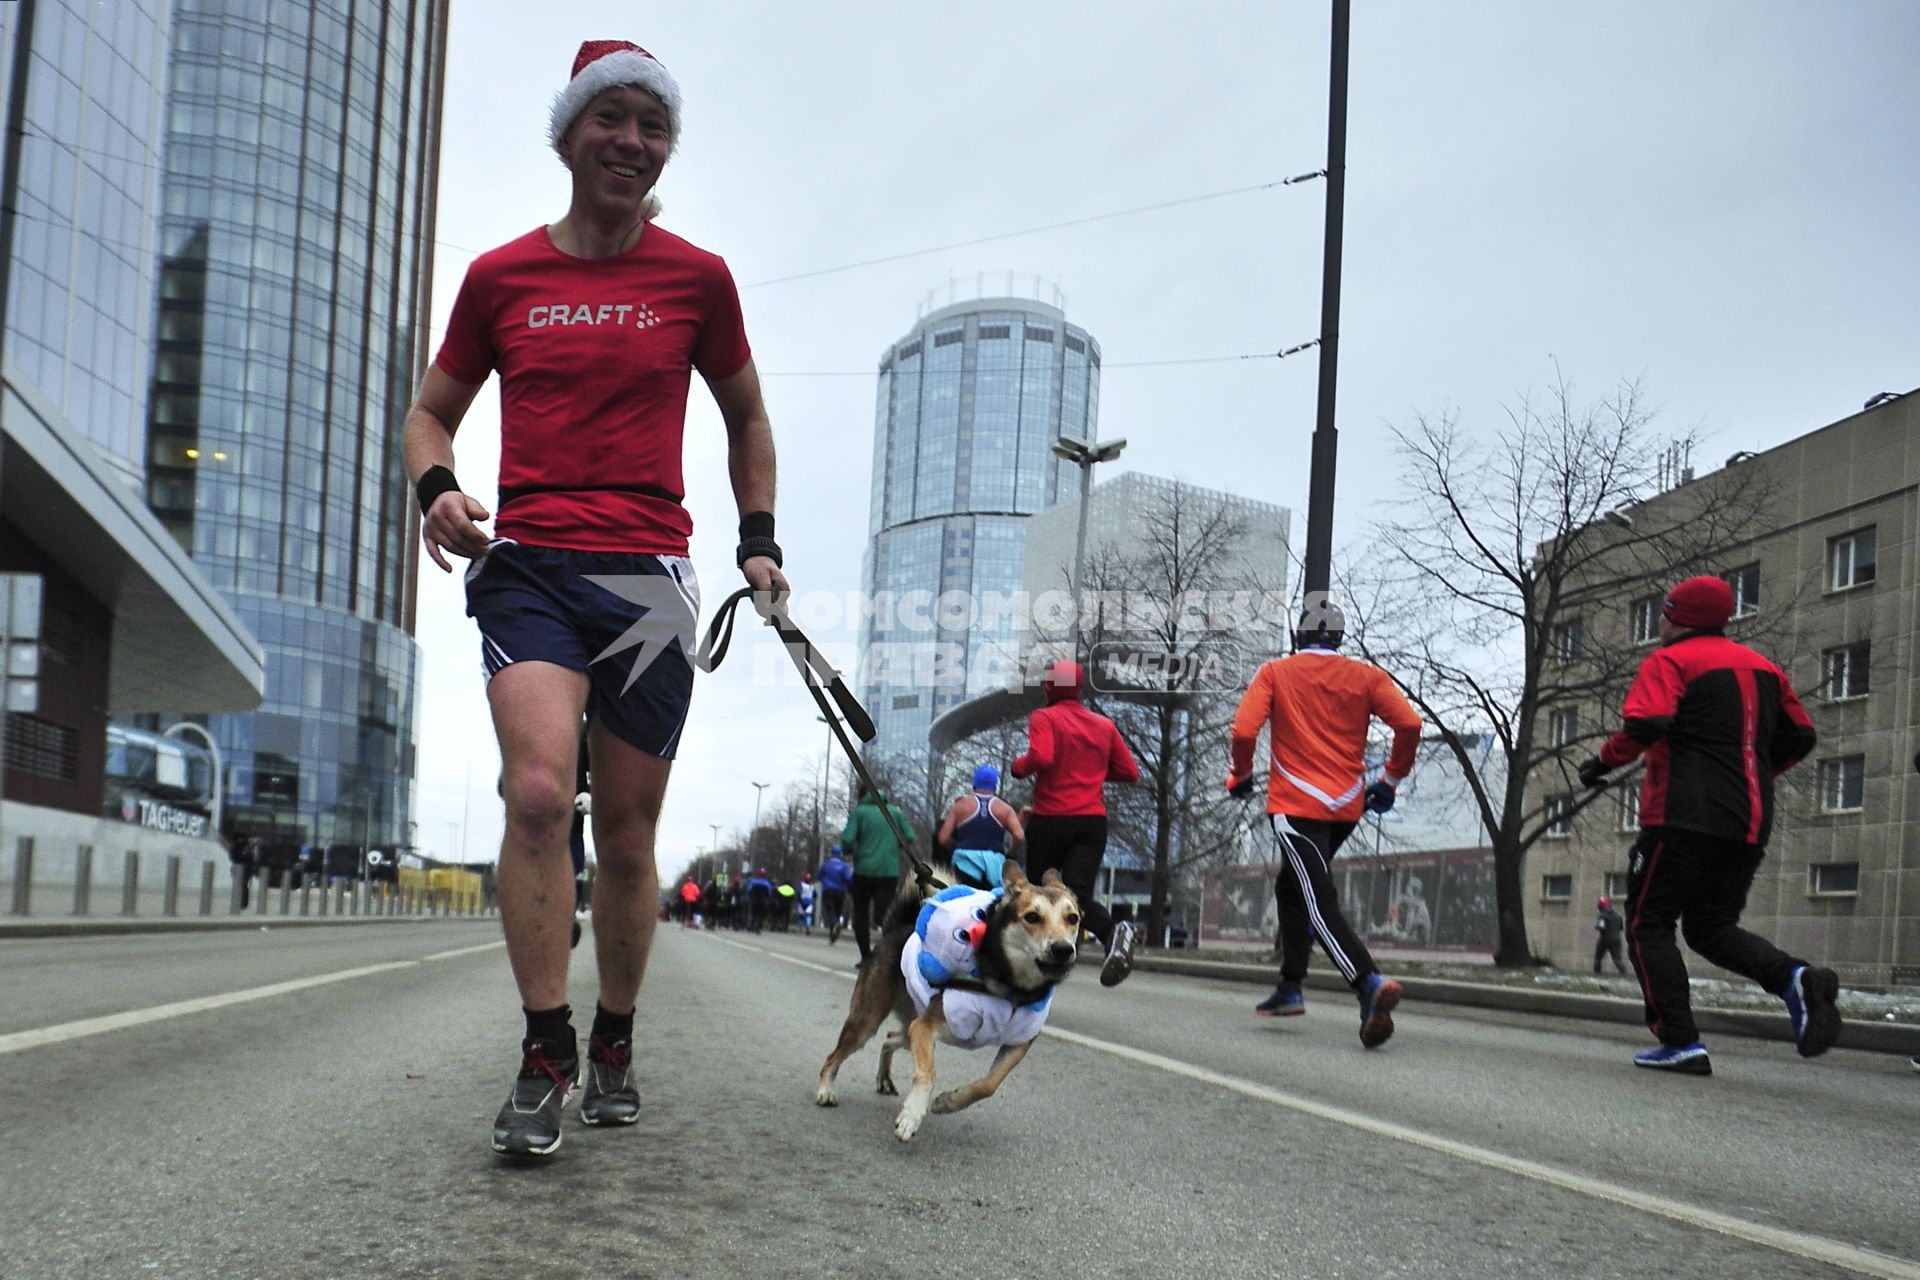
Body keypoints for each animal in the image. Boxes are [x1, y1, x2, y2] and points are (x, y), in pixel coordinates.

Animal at [810, 859, 1082, 1143]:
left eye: (1073, 918)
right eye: (1032, 917)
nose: (1063, 949)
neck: (1011, 988)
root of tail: (897, 929)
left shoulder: (1018, 1042)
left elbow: (988, 1084)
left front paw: (947, 1102)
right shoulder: (926, 1027)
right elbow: (927, 1074)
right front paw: (912, 1115)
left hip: (910, 1024)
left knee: (891, 1037)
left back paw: (884, 1078)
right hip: (868, 1020)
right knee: (836, 1055)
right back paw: (826, 1090)